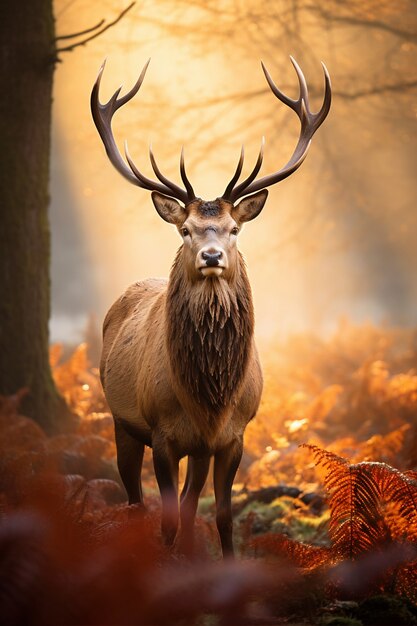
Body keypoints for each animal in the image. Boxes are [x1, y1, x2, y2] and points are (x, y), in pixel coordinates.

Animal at [92, 56, 332, 552]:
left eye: (234, 228)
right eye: (185, 230)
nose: (212, 256)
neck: (209, 397)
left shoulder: (233, 436)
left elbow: (219, 515)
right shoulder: (161, 433)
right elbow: (165, 517)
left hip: (197, 449)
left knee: (188, 500)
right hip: (122, 419)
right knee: (134, 497)